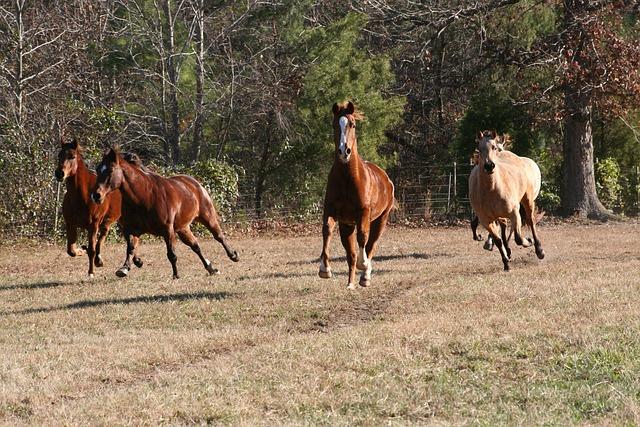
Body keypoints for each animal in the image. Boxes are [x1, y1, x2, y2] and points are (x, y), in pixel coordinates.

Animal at [54, 137, 138, 278]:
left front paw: (91, 272)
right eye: (59, 155)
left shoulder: (93, 225)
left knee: (131, 241)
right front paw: (81, 250)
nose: (59, 173)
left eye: (72, 156)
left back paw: (129, 265)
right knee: (106, 235)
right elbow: (71, 249)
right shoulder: (70, 224)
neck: (82, 195)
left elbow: (92, 249)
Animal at [89, 148, 238, 280]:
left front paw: (176, 275)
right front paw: (125, 268)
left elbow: (171, 254)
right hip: (183, 228)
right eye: (98, 169)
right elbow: (131, 248)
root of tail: (195, 184)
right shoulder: (131, 229)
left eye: (110, 170)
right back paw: (211, 268)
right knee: (195, 246)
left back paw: (233, 256)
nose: (96, 195)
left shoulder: (167, 230)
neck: (144, 196)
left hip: (207, 217)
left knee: (218, 236)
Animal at [316, 101, 392, 290]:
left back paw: (365, 277)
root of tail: (386, 179)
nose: (344, 151)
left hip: (381, 220)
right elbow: (327, 230)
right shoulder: (332, 211)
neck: (347, 179)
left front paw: (363, 264)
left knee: (371, 245)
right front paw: (324, 269)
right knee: (350, 254)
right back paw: (350, 284)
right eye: (334, 124)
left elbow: (363, 237)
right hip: (347, 226)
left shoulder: (363, 213)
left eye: (353, 124)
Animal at [468, 130, 544, 270]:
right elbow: (498, 240)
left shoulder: (513, 213)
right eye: (479, 149)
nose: (489, 166)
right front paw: (506, 263)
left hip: (527, 201)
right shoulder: (486, 220)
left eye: (493, 147)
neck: (491, 189)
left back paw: (539, 249)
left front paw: (528, 241)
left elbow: (518, 238)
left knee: (530, 221)